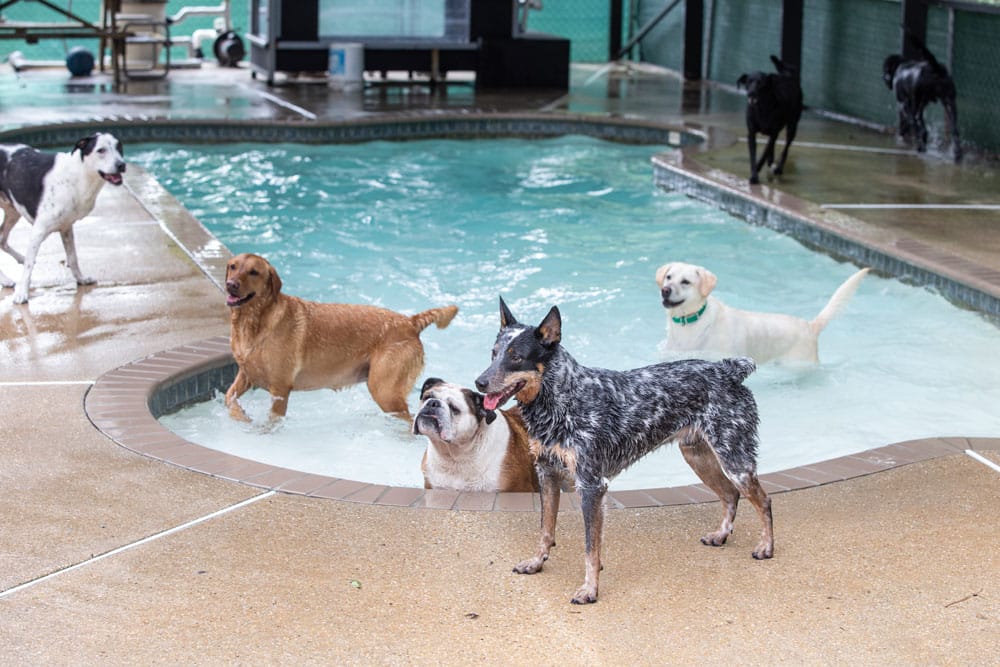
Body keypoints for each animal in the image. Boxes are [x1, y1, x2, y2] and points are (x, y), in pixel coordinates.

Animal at [0, 132, 126, 302]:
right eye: (101, 150)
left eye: (119, 147)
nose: (121, 165)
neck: (78, 176)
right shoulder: (38, 230)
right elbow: (29, 265)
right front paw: (22, 293)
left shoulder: (66, 227)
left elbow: (73, 257)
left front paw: (81, 279)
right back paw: (6, 279)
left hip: (12, 212)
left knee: (2, 240)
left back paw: (17, 260)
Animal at [476, 298, 772, 604]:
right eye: (493, 354)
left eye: (516, 357)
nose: (479, 383)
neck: (562, 399)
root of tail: (727, 368)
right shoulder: (547, 474)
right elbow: (546, 529)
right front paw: (536, 562)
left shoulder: (592, 485)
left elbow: (590, 548)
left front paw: (590, 589)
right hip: (698, 456)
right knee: (730, 494)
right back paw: (721, 535)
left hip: (734, 459)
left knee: (763, 500)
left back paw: (766, 547)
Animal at [736, 54, 804, 184]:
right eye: (748, 82)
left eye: (761, 83)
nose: (751, 93)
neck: (762, 107)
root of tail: (788, 76)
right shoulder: (751, 133)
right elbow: (754, 155)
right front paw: (754, 174)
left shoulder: (773, 132)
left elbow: (764, 153)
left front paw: (757, 169)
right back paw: (771, 161)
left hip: (792, 126)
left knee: (785, 148)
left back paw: (779, 168)